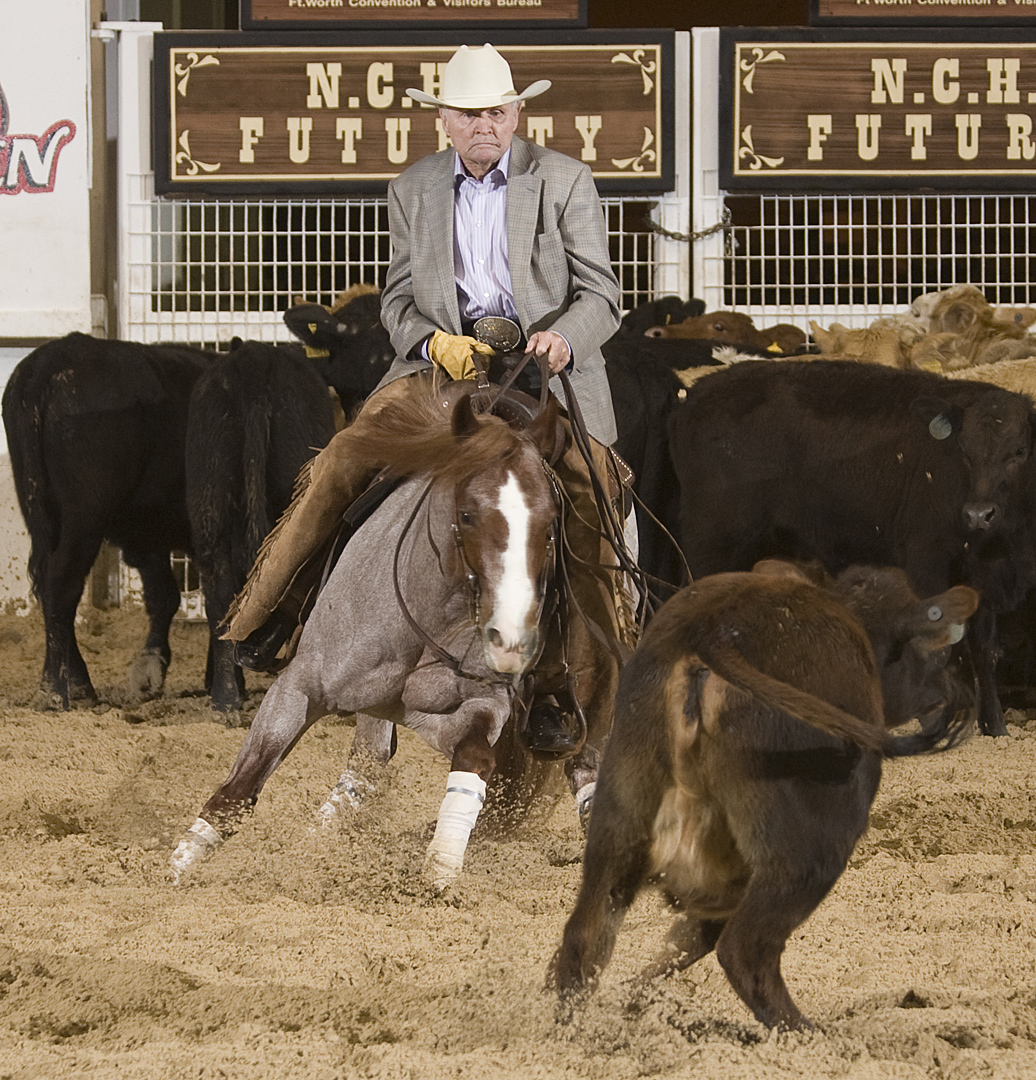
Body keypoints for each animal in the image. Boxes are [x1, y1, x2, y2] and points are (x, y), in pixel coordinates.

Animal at [1, 332, 217, 712]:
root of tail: (57, 356)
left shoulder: (147, 536)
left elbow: (165, 596)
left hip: (43, 514)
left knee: (51, 589)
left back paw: (77, 683)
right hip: (84, 517)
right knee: (62, 582)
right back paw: (55, 689)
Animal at [172, 380, 617, 885]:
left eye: (550, 526)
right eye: (467, 514)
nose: (510, 641)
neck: (423, 620)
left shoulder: (465, 708)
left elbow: (474, 758)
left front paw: (441, 866)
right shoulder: (300, 684)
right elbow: (241, 788)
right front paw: (176, 867)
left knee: (583, 763)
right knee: (364, 767)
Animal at [550, 565, 980, 1028]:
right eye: (935, 654)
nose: (942, 691)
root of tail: (710, 630)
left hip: (619, 819)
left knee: (584, 935)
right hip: (809, 853)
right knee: (745, 949)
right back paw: (804, 1031)